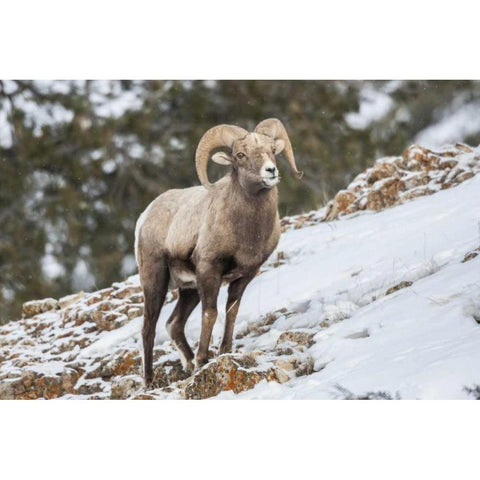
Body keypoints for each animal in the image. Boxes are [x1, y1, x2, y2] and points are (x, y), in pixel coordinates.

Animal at [134, 117, 300, 386]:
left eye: (272, 150)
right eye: (240, 154)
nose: (270, 171)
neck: (246, 230)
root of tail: (145, 216)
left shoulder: (244, 275)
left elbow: (231, 312)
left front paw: (224, 351)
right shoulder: (209, 271)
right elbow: (210, 314)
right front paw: (203, 360)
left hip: (188, 290)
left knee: (173, 324)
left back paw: (188, 363)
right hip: (156, 281)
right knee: (149, 327)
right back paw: (150, 381)